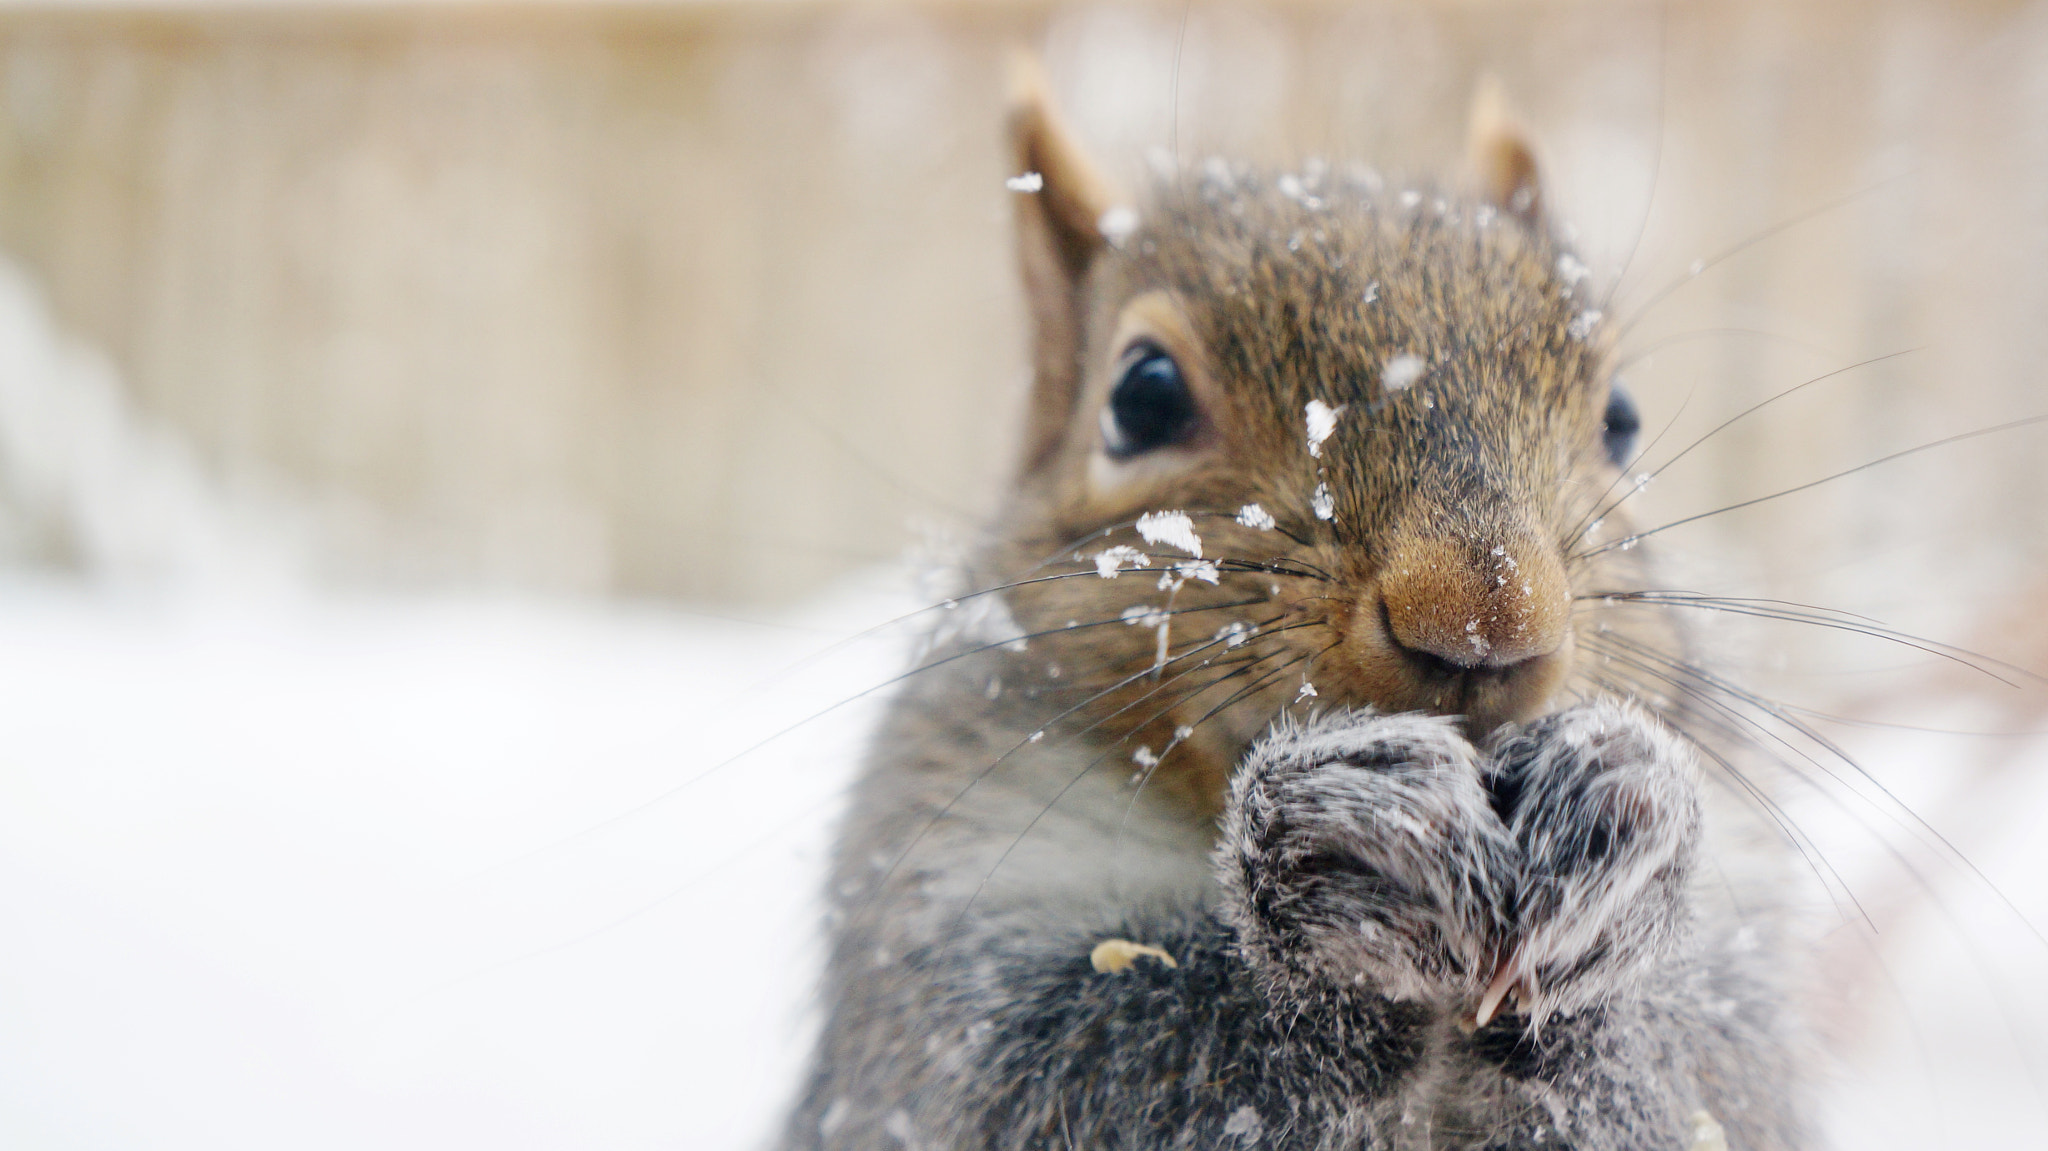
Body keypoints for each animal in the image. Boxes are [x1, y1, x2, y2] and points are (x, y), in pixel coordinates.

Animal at [778, 69, 1810, 1151]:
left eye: (1621, 418)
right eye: (1140, 396)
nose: (1488, 616)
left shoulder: (1743, 984)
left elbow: (1708, 1079)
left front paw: (1621, 822)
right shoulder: (927, 916)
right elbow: (1069, 1066)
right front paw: (1335, 853)